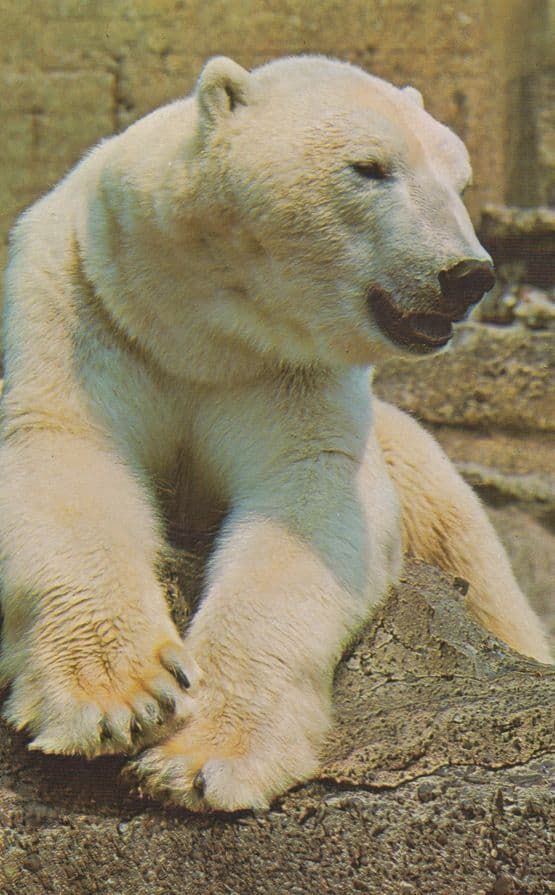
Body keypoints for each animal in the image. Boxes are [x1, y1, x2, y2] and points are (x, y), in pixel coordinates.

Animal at [0, 54, 550, 813]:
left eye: (459, 180)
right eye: (369, 167)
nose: (467, 275)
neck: (199, 327)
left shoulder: (290, 373)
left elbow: (307, 506)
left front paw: (200, 758)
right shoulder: (85, 301)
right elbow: (62, 453)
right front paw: (121, 700)